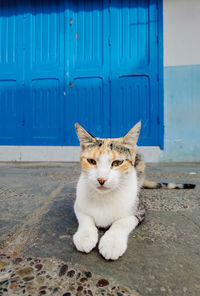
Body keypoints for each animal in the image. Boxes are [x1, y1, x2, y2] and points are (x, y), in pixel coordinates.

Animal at [72, 120, 195, 260]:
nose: (101, 179)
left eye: (117, 163)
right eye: (91, 161)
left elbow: (122, 222)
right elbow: (85, 217)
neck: (105, 197)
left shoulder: (139, 210)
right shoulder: (78, 204)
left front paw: (112, 243)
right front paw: (85, 237)